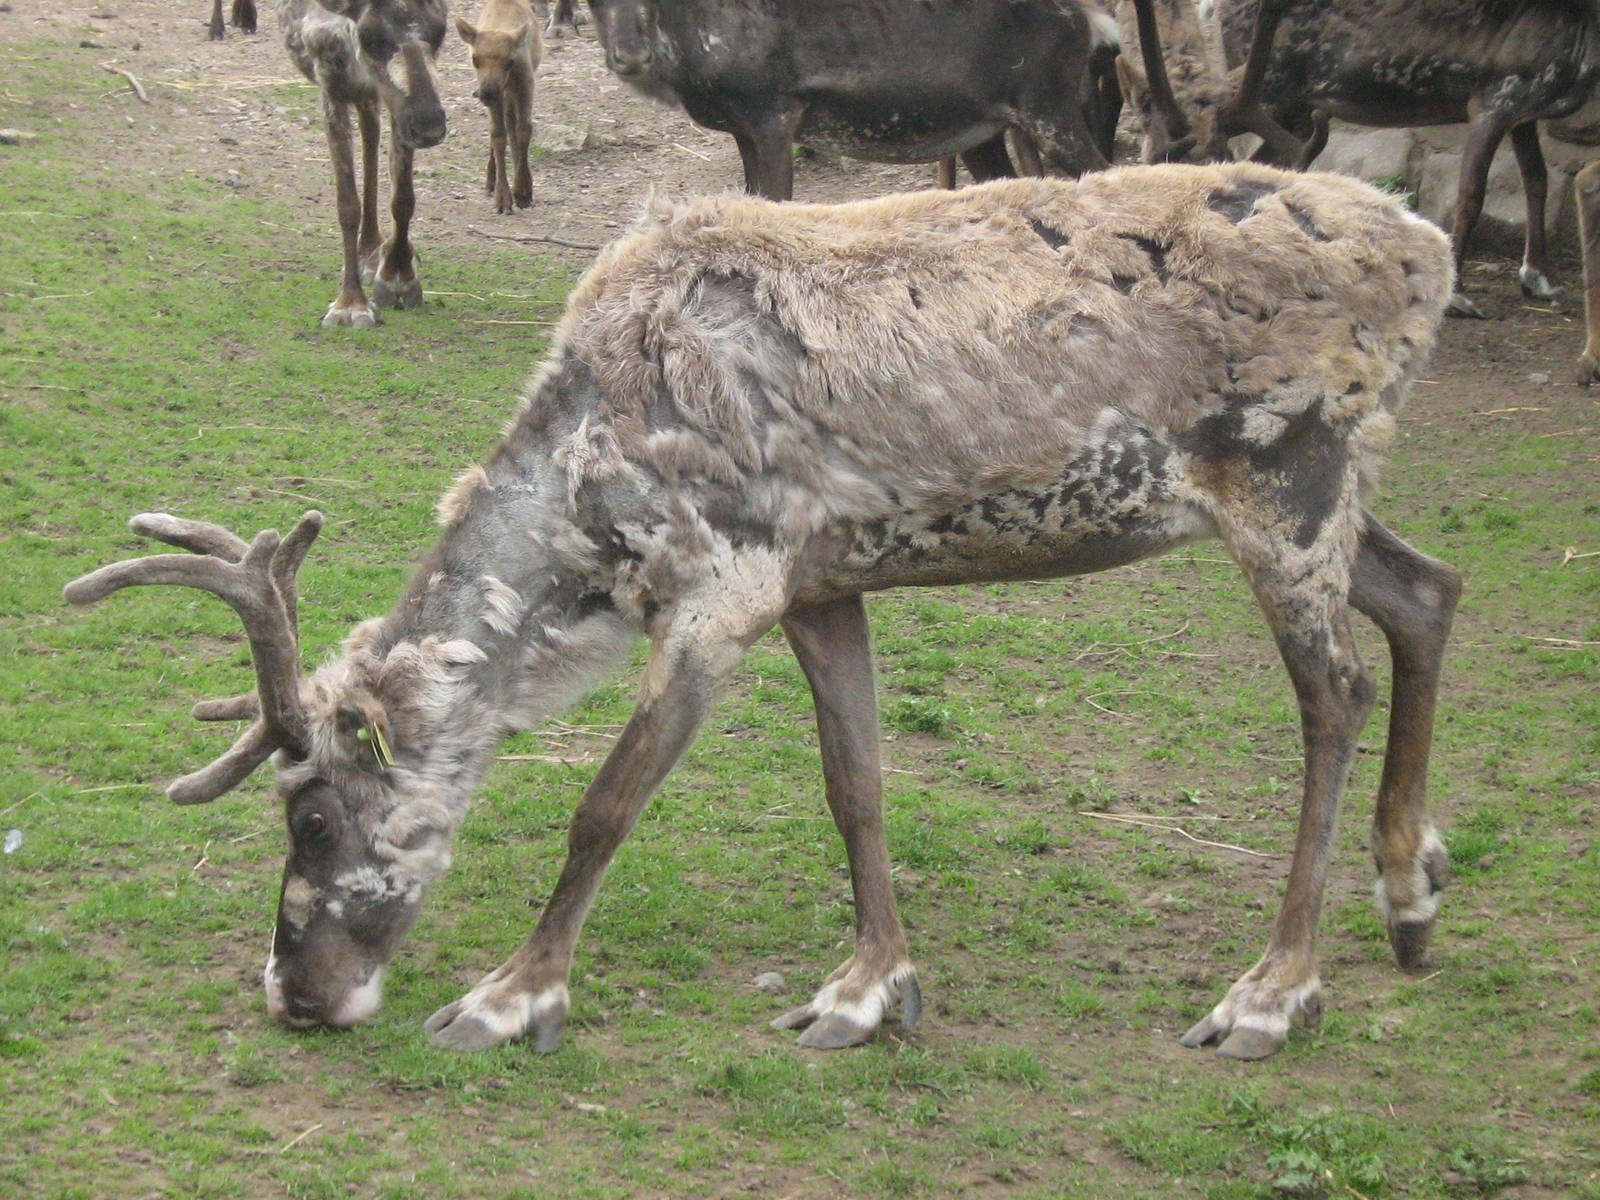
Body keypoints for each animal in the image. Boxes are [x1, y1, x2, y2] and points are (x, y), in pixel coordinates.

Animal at [67, 161, 1460, 1062]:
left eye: (308, 812)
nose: (293, 995)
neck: (588, 484)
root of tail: (1427, 249)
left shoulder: (717, 597)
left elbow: (601, 808)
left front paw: (510, 998)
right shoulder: (820, 588)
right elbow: (857, 785)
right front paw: (865, 992)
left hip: (1285, 487)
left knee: (1335, 693)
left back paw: (1273, 993)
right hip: (1317, 500)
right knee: (1430, 592)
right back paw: (1407, 894)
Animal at [280, 0, 449, 329]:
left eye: (441, 29)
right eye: (368, 36)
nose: (430, 125)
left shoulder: (398, 107)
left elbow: (403, 199)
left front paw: (398, 277)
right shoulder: (332, 86)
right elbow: (347, 204)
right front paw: (350, 303)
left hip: (373, 96)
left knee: (371, 132)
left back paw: (373, 250)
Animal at [458, 0, 544, 215]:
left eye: (509, 61)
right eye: (475, 59)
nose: (487, 92)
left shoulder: (525, 85)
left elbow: (524, 130)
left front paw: (523, 191)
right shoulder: (497, 98)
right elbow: (497, 136)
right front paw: (503, 198)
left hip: (509, 95)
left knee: (512, 125)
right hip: (502, 97)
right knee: (504, 127)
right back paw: (491, 180)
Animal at [1116, 0, 1600, 318]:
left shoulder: (1525, 112)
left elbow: (1537, 180)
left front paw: (1541, 278)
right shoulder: (1493, 100)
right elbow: (1472, 195)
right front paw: (1459, 294)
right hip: (1270, 92)